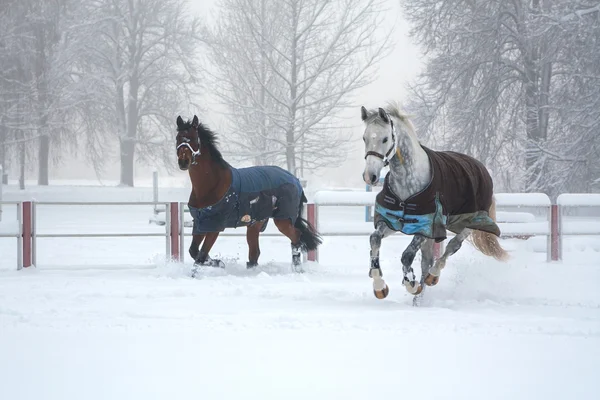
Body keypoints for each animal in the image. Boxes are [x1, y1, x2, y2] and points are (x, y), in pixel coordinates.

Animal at [176, 114, 322, 274]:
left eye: (194, 138)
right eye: (178, 137)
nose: (183, 161)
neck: (212, 185)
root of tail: (296, 180)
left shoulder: (215, 226)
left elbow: (200, 256)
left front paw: (215, 265)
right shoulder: (201, 224)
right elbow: (194, 251)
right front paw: (218, 262)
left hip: (283, 220)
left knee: (296, 237)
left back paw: (297, 269)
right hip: (255, 223)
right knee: (255, 253)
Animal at [360, 104, 506, 302]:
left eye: (385, 138)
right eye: (365, 138)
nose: (370, 176)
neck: (407, 184)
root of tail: (481, 167)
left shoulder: (427, 227)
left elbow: (407, 256)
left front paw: (411, 284)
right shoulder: (390, 222)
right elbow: (374, 240)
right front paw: (380, 287)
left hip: (469, 224)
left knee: (451, 247)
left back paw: (432, 278)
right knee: (427, 261)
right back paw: (418, 299)